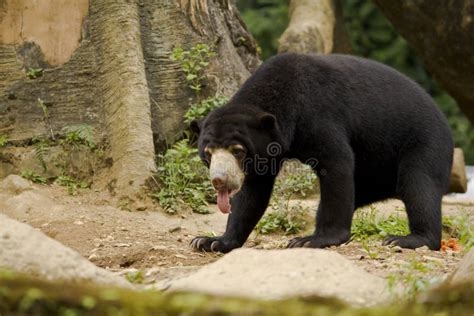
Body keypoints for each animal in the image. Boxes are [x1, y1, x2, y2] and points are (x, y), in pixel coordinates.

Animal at [188, 53, 452, 253]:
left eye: (238, 151)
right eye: (208, 153)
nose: (219, 181)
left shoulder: (318, 116)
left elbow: (337, 163)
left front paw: (313, 240)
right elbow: (252, 193)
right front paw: (210, 241)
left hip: (424, 144)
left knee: (419, 187)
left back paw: (408, 239)